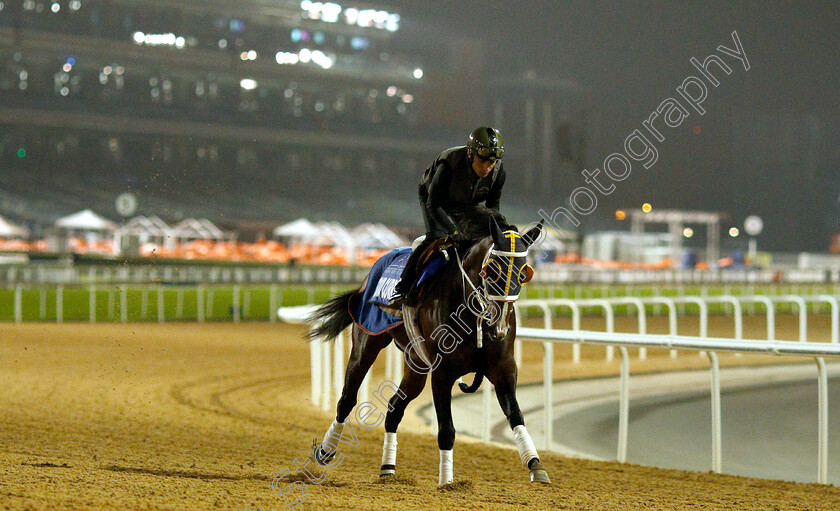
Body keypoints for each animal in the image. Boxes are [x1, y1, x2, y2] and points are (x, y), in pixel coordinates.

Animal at [306, 216, 548, 488]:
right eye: (492, 270)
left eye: (523, 272)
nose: (499, 328)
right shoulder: (442, 372)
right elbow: (447, 429)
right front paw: (447, 481)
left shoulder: (503, 367)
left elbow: (515, 414)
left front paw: (535, 464)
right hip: (367, 341)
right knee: (347, 399)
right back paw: (326, 450)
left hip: (416, 365)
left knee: (394, 407)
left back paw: (387, 467)